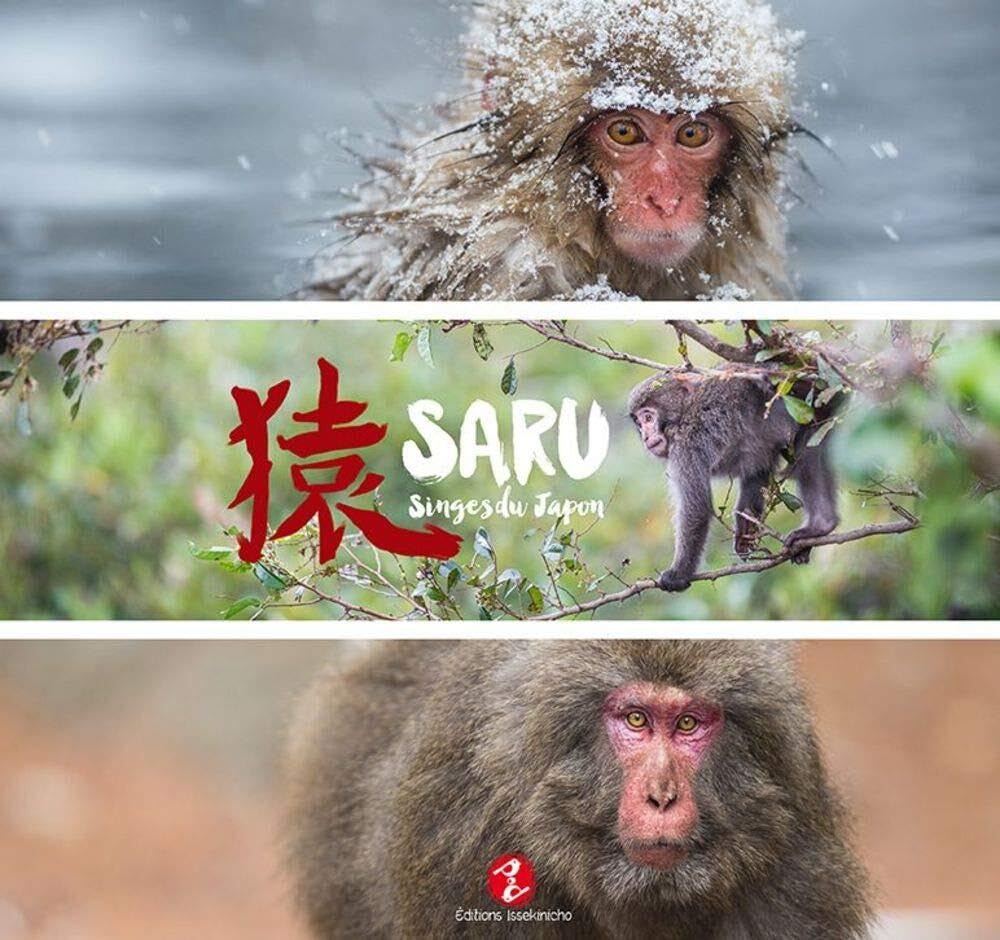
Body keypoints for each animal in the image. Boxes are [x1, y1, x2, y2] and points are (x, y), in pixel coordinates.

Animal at [628, 367, 840, 592]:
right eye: (639, 423)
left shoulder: (686, 447)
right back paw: (822, 525)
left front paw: (679, 572)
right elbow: (757, 471)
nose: (645, 436)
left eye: (648, 417)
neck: (685, 413)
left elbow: (696, 508)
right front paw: (746, 529)